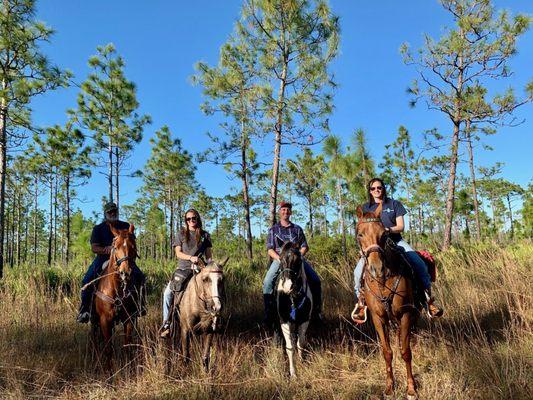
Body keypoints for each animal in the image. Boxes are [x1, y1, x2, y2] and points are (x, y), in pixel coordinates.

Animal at [92, 223, 140, 368]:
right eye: (115, 247)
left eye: (133, 246)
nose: (125, 272)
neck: (117, 289)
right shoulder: (105, 320)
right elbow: (108, 349)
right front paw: (109, 371)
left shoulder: (129, 319)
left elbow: (127, 346)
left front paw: (129, 368)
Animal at [356, 205, 418, 398]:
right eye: (359, 234)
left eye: (384, 234)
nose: (377, 268)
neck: (383, 281)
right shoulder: (378, 318)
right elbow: (387, 352)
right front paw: (390, 386)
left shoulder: (405, 314)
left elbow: (406, 351)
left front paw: (411, 388)